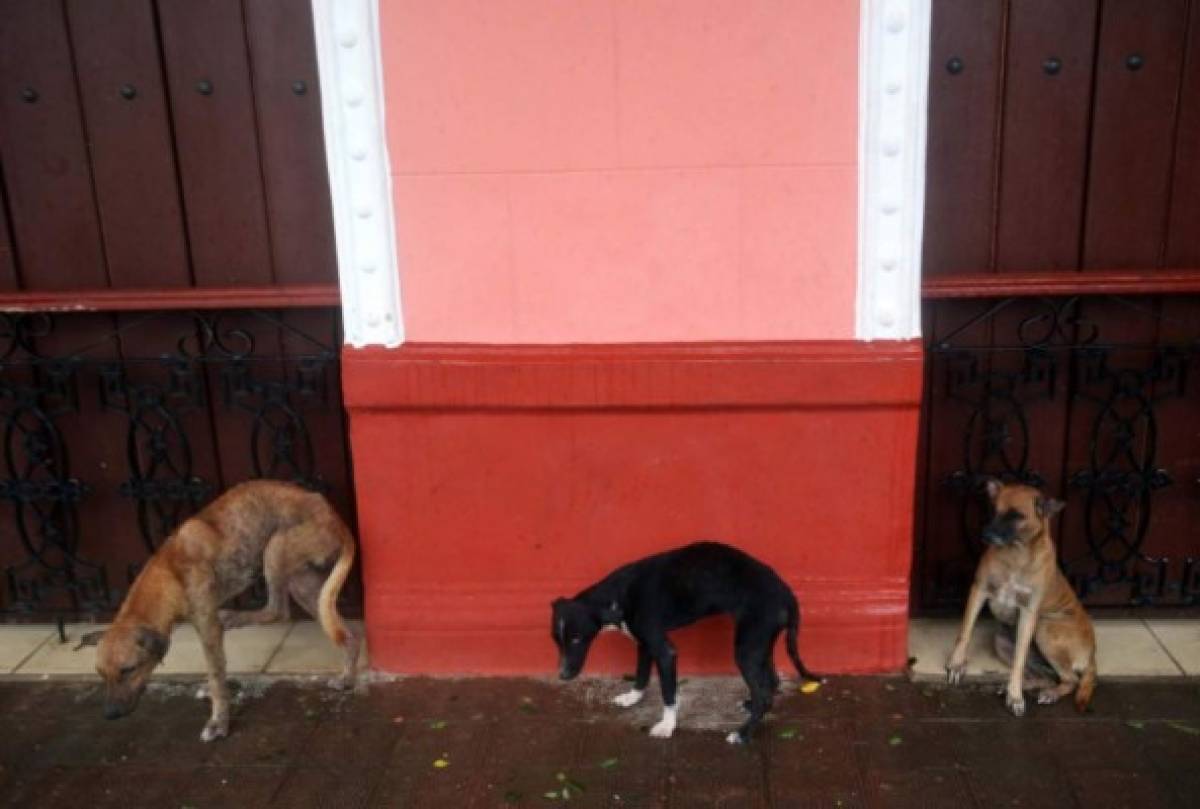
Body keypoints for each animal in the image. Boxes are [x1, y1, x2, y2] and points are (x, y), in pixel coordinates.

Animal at [79, 480, 357, 739]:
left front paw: (219, 721)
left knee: (278, 611)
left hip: (275, 549)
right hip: (305, 585)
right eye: (100, 674)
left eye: (128, 670)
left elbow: (215, 673)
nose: (110, 714)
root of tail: (334, 516)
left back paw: (235, 616)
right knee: (344, 632)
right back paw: (347, 677)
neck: (169, 573)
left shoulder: (208, 627)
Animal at [549, 537, 816, 739]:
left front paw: (667, 726)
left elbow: (668, 694)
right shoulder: (644, 644)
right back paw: (751, 708)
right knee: (772, 683)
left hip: (746, 649)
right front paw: (632, 698)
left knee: (765, 696)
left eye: (576, 639)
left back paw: (742, 735)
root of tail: (787, 593)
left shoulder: (665, 651)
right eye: (557, 640)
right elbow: (641, 675)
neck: (618, 596)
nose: (562, 676)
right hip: (761, 644)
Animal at [945, 480, 1099, 710]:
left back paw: (1048, 693)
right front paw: (956, 664)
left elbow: (1019, 659)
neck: (1016, 553)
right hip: (1002, 642)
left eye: (1016, 515)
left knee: (1070, 679)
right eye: (993, 510)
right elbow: (965, 632)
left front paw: (1015, 695)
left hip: (1044, 629)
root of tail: (1092, 654)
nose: (985, 535)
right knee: (1048, 677)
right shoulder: (979, 591)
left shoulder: (1028, 612)